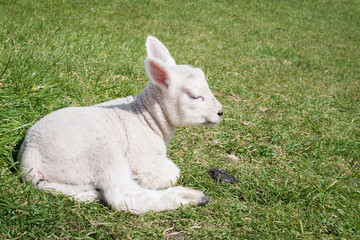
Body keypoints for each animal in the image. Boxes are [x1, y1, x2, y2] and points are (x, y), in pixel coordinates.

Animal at [19, 36, 225, 215]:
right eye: (195, 96)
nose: (220, 112)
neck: (148, 117)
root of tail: (30, 158)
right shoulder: (144, 155)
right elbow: (173, 171)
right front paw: (145, 178)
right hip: (97, 152)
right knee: (123, 196)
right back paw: (188, 196)